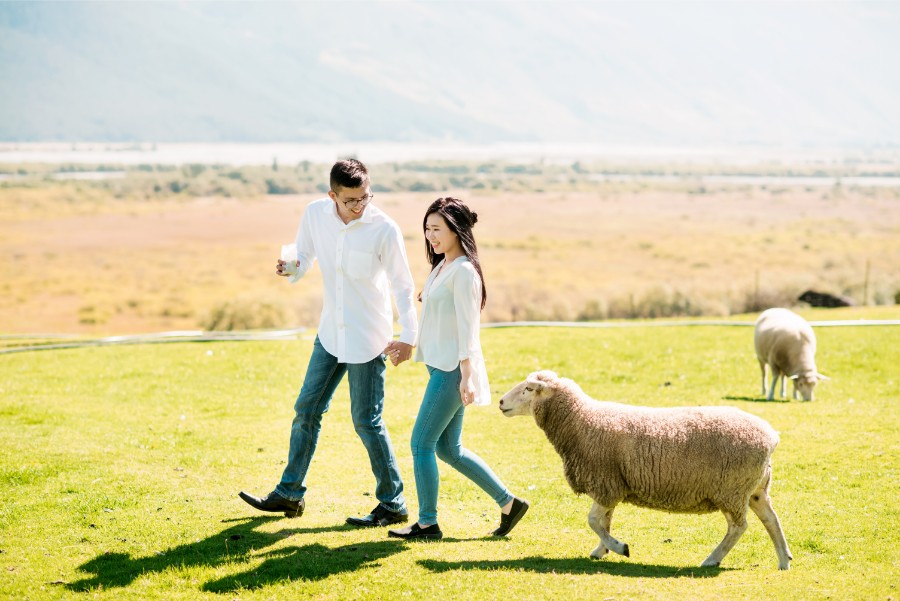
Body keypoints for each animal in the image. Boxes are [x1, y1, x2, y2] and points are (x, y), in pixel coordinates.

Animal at [502, 368, 792, 568]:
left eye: (528, 388)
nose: (501, 402)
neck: (581, 421)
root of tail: (771, 437)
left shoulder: (605, 482)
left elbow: (594, 520)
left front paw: (619, 547)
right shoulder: (612, 483)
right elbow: (605, 521)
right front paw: (602, 550)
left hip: (731, 489)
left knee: (738, 527)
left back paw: (712, 559)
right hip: (754, 489)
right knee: (771, 519)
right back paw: (784, 560)